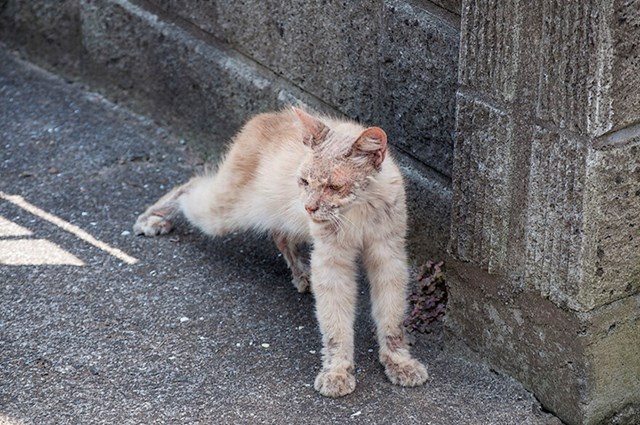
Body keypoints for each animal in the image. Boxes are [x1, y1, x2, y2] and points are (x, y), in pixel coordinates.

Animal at [132, 107, 428, 398]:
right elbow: (335, 323)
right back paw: (153, 218)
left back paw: (301, 276)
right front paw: (337, 371)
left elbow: (391, 317)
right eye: (305, 181)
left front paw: (399, 362)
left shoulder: (389, 258)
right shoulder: (331, 263)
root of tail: (268, 116)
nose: (310, 206)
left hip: (286, 218)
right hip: (225, 212)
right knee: (191, 185)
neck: (359, 210)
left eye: (333, 186)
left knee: (279, 234)